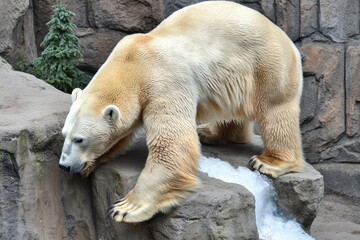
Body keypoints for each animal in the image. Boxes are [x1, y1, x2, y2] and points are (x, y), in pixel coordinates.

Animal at [58, 1, 304, 223]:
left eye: (80, 139)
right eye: (65, 134)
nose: (64, 165)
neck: (133, 63)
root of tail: (288, 41)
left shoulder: (165, 81)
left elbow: (171, 143)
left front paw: (126, 208)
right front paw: (89, 164)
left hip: (267, 64)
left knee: (276, 111)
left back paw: (270, 162)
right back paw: (211, 134)